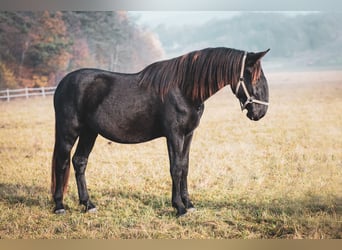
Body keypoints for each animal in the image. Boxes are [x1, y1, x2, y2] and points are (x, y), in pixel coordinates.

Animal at [51, 47, 270, 217]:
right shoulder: (174, 135)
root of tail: (62, 84)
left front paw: (189, 204)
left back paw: (88, 204)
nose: (261, 112)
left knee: (79, 162)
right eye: (255, 78)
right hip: (68, 132)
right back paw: (59, 206)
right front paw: (179, 208)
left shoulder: (188, 135)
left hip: (89, 132)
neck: (184, 89)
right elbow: (175, 168)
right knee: (62, 162)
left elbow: (185, 166)